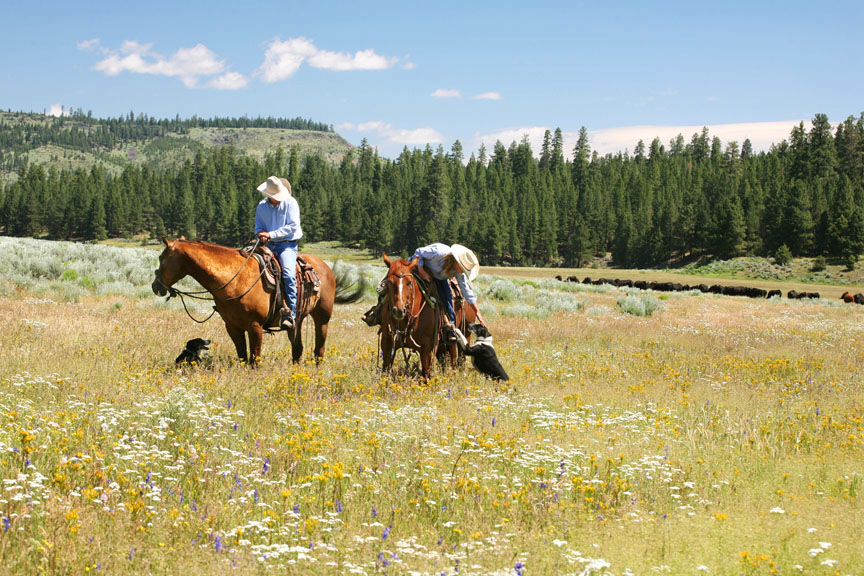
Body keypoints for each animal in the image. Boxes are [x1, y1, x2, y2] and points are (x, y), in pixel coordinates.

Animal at [152, 237, 362, 365]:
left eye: (162, 258)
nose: (155, 286)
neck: (234, 279)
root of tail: (325, 267)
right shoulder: (232, 326)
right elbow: (243, 356)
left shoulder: (255, 326)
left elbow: (255, 358)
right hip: (297, 320)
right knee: (298, 347)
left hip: (322, 317)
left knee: (319, 348)